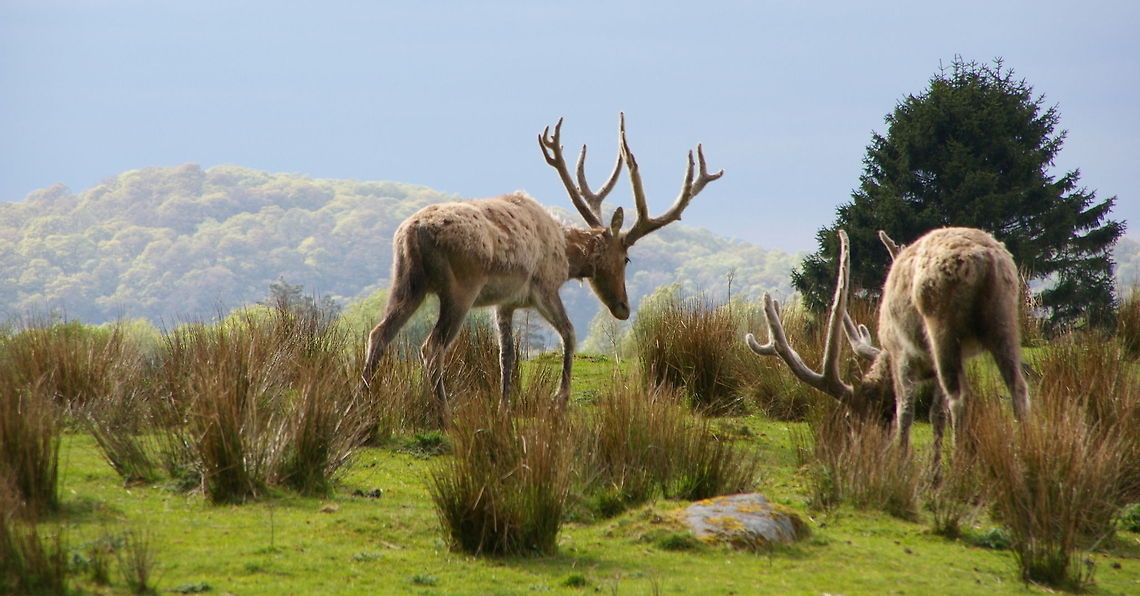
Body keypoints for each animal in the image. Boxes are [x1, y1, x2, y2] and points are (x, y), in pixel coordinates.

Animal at [363, 114, 722, 418]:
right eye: (626, 258)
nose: (623, 308)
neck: (565, 254)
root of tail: (414, 231)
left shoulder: (504, 303)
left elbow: (506, 354)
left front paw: (504, 406)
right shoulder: (545, 287)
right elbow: (569, 333)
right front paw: (559, 399)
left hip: (405, 281)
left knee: (378, 333)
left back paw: (365, 399)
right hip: (460, 288)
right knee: (430, 347)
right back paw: (443, 412)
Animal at [746, 227, 1030, 471]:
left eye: (848, 417)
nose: (855, 452)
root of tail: (986, 260)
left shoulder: (901, 352)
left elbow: (905, 410)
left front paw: (902, 466)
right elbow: (936, 414)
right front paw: (932, 469)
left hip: (942, 326)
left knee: (960, 397)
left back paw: (959, 470)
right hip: (1004, 318)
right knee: (1017, 388)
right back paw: (1022, 459)